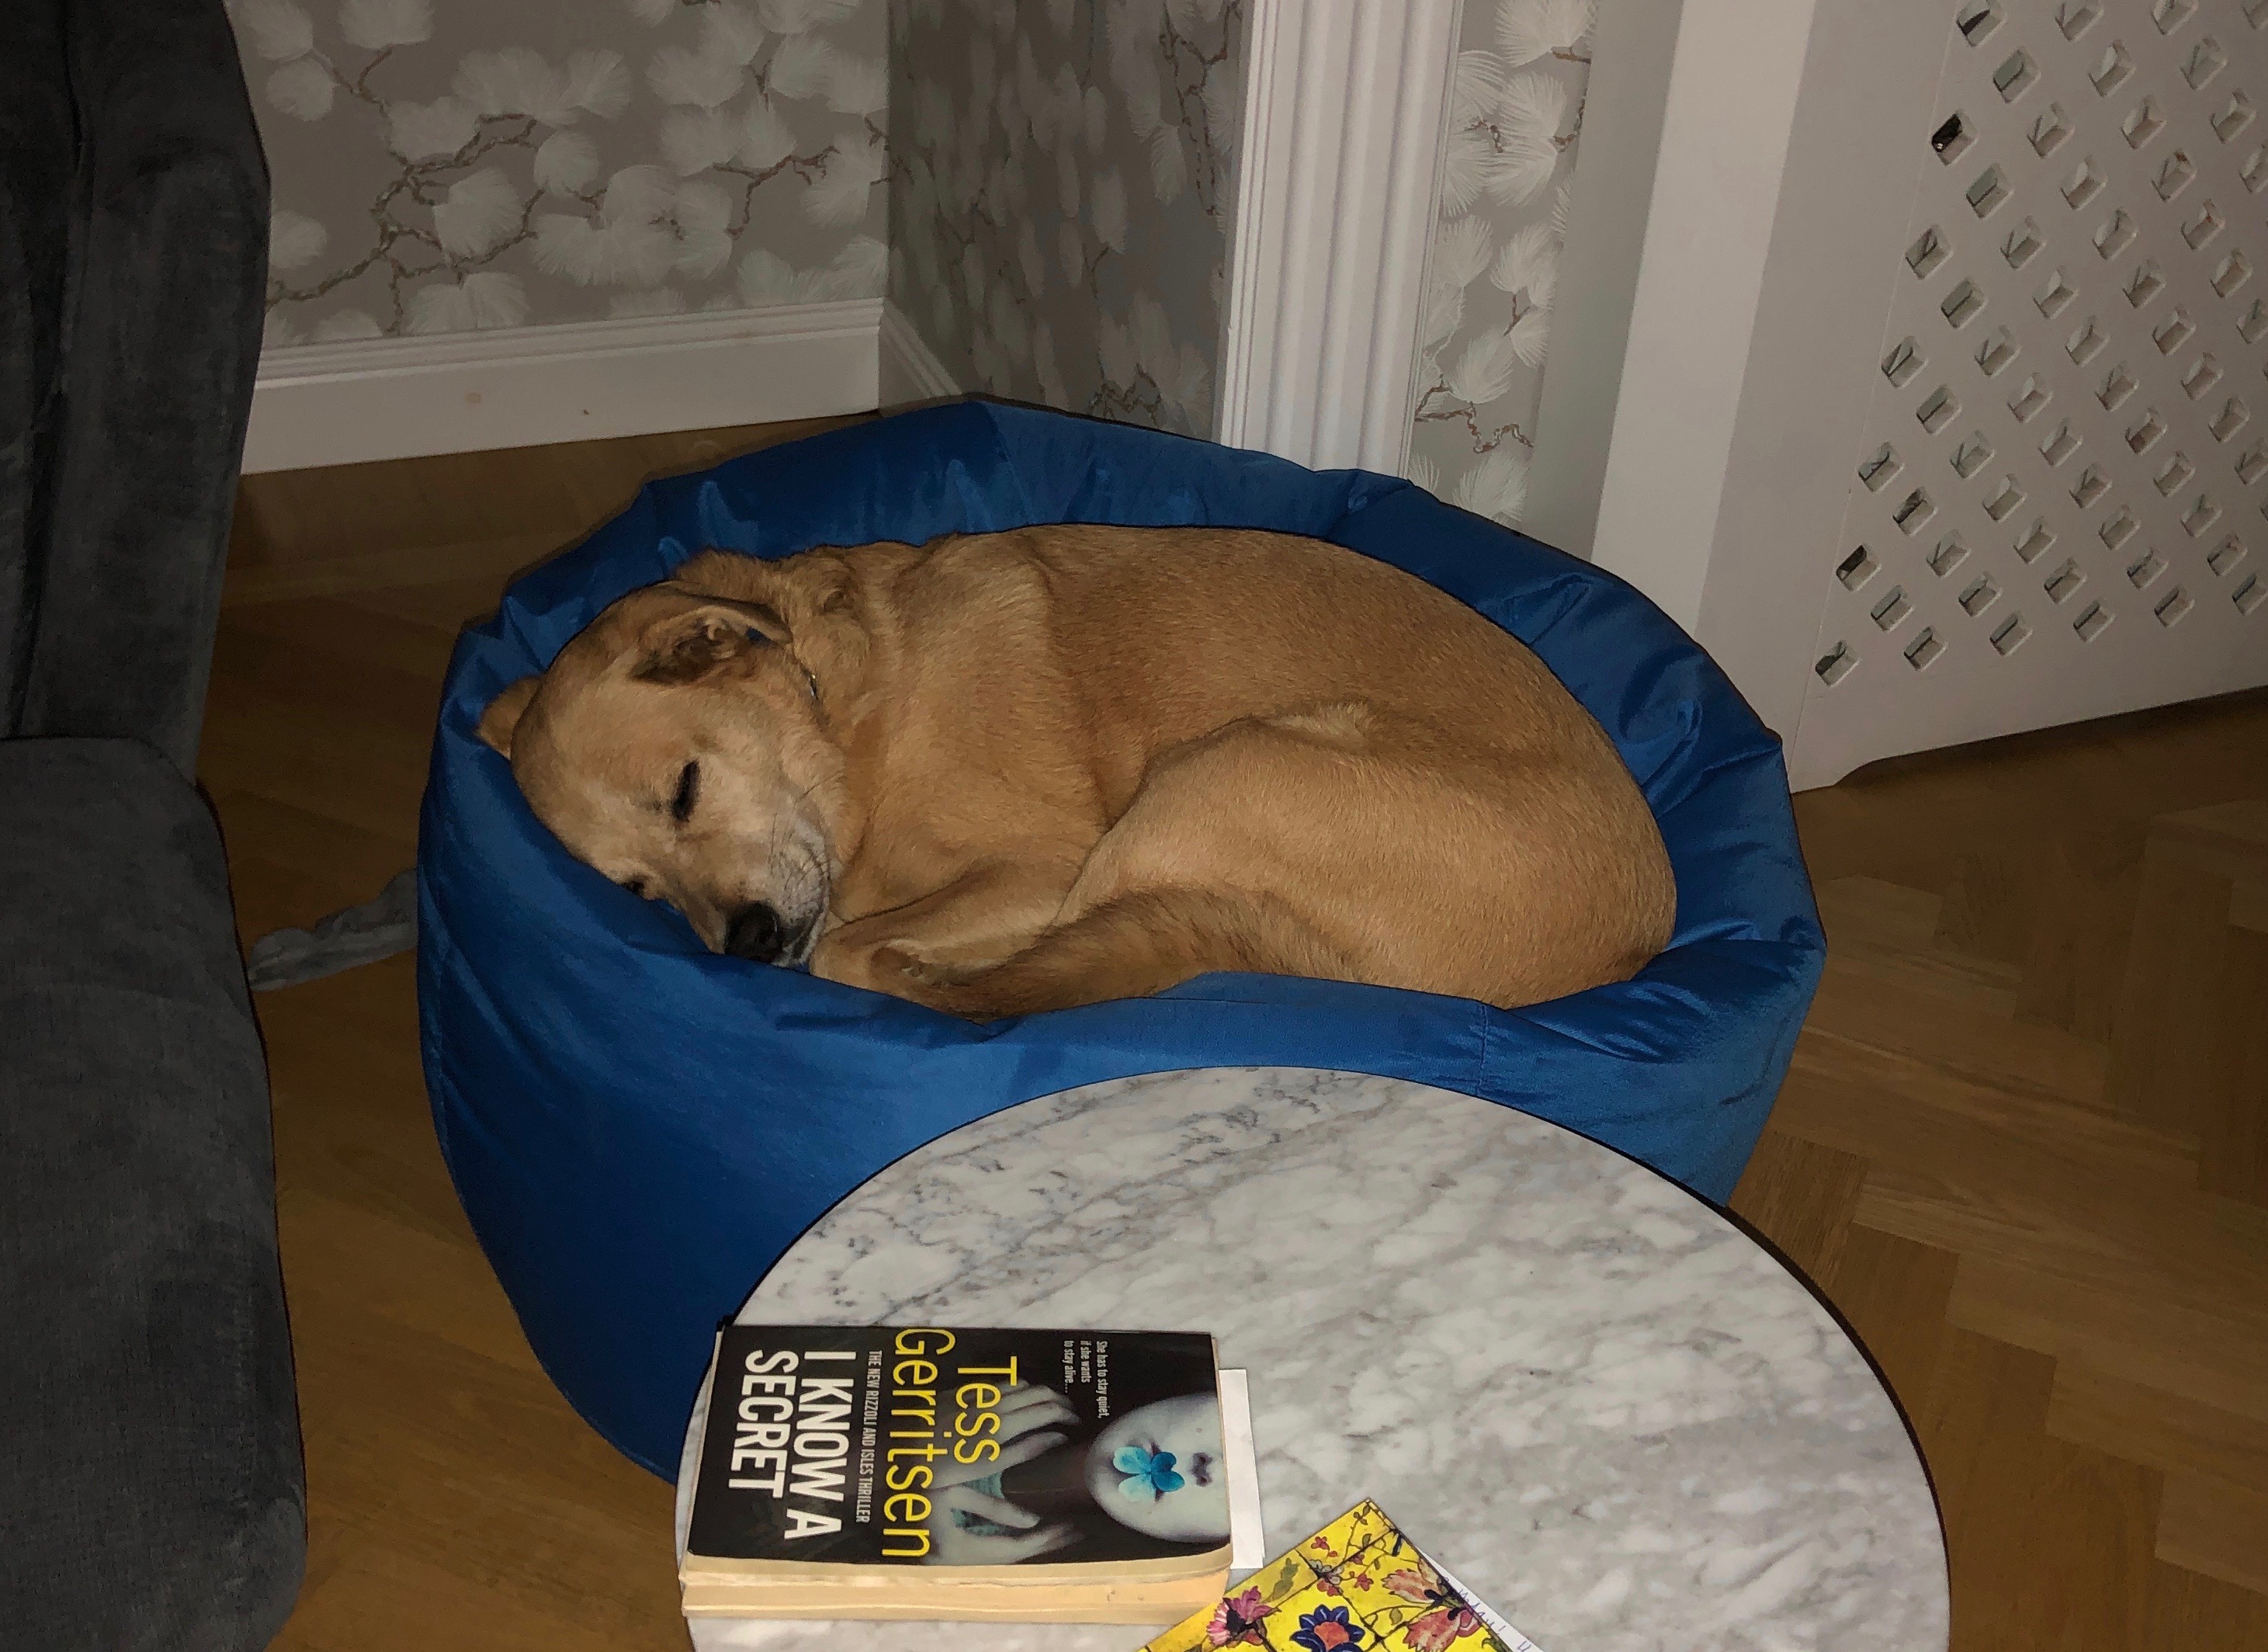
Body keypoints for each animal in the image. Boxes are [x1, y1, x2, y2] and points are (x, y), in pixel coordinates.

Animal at [478, 529, 1678, 1021]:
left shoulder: (1040, 866)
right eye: (636, 892)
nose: (748, 948)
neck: (850, 713)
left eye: (684, 788)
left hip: (1211, 773)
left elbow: (857, 945)